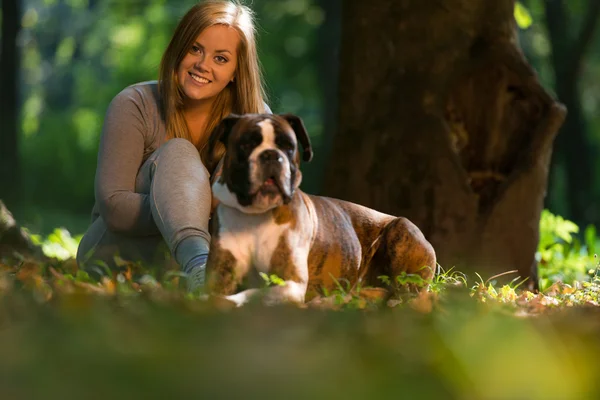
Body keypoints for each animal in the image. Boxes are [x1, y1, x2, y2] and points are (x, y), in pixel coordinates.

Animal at [204, 112, 434, 306]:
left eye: (289, 147)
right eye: (246, 144)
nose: (270, 155)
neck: (255, 216)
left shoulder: (290, 283)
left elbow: (249, 295)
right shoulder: (220, 275)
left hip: (402, 230)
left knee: (402, 292)